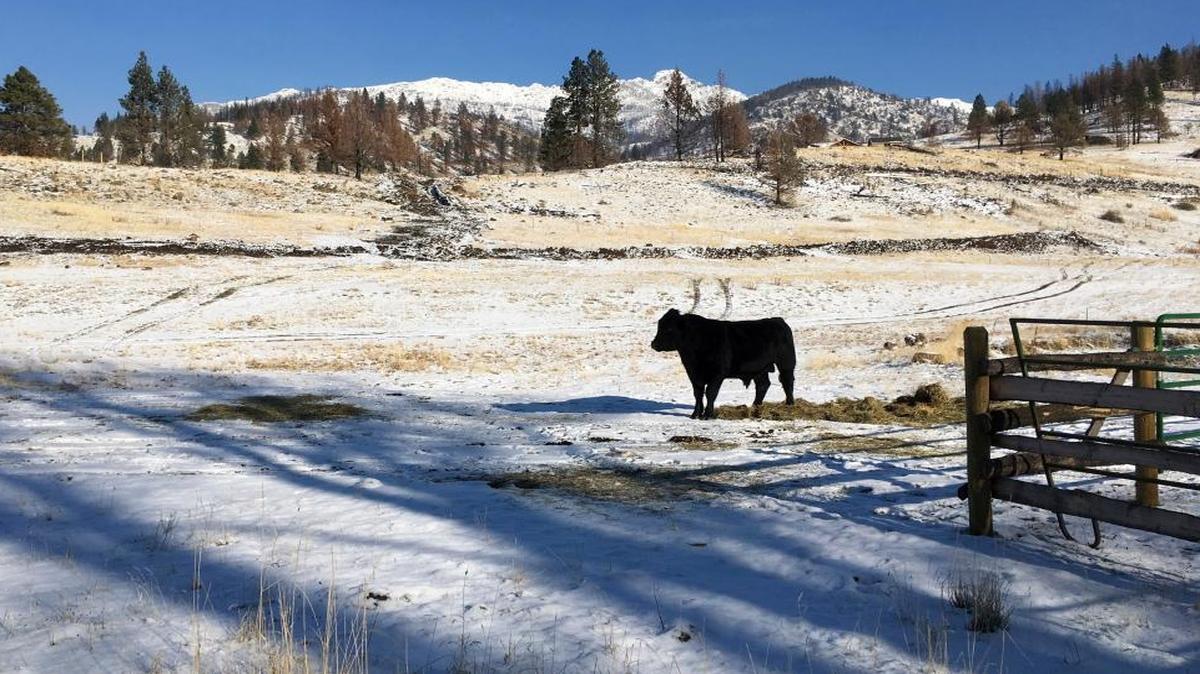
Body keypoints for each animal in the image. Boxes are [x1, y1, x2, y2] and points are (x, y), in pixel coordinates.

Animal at [651, 309, 796, 419]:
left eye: (669, 329)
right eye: (659, 326)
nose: (654, 344)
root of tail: (777, 320)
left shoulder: (717, 374)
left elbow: (710, 393)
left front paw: (708, 415)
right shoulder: (693, 374)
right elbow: (698, 394)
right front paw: (695, 414)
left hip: (786, 363)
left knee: (787, 382)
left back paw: (790, 405)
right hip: (759, 369)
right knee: (763, 385)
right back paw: (755, 407)